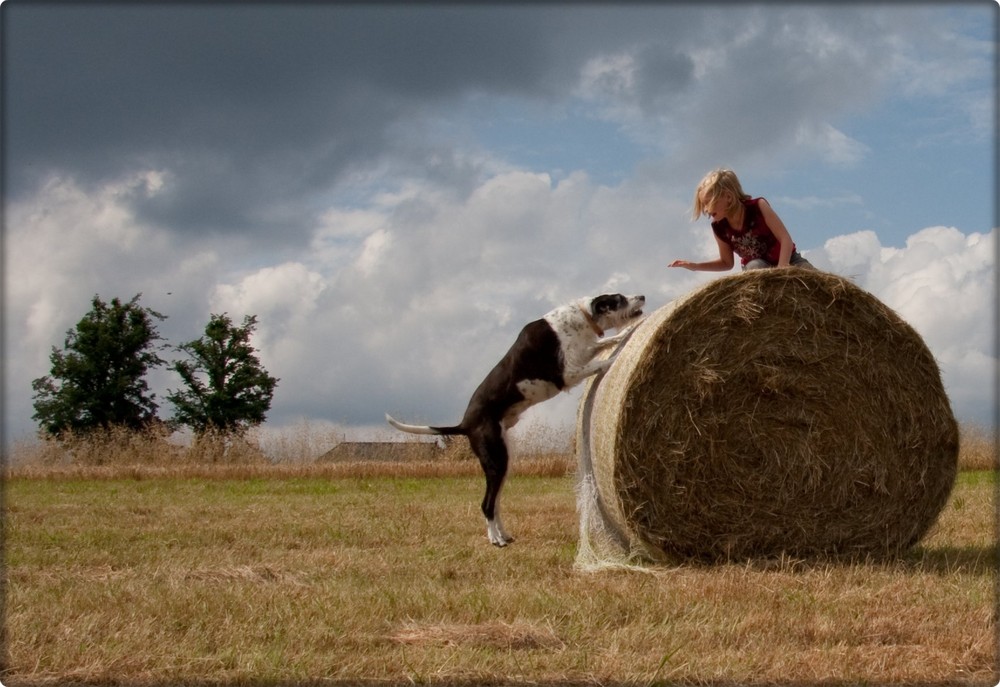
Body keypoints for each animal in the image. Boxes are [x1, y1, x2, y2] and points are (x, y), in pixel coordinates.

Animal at [382, 294, 648, 548]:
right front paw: (619, 355)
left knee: (496, 503)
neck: (581, 316)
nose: (642, 296)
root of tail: (465, 424)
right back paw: (496, 540)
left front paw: (628, 333)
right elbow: (602, 361)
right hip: (496, 460)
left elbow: (603, 343)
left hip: (503, 460)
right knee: (486, 503)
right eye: (619, 298)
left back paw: (504, 535)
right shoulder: (567, 373)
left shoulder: (583, 351)